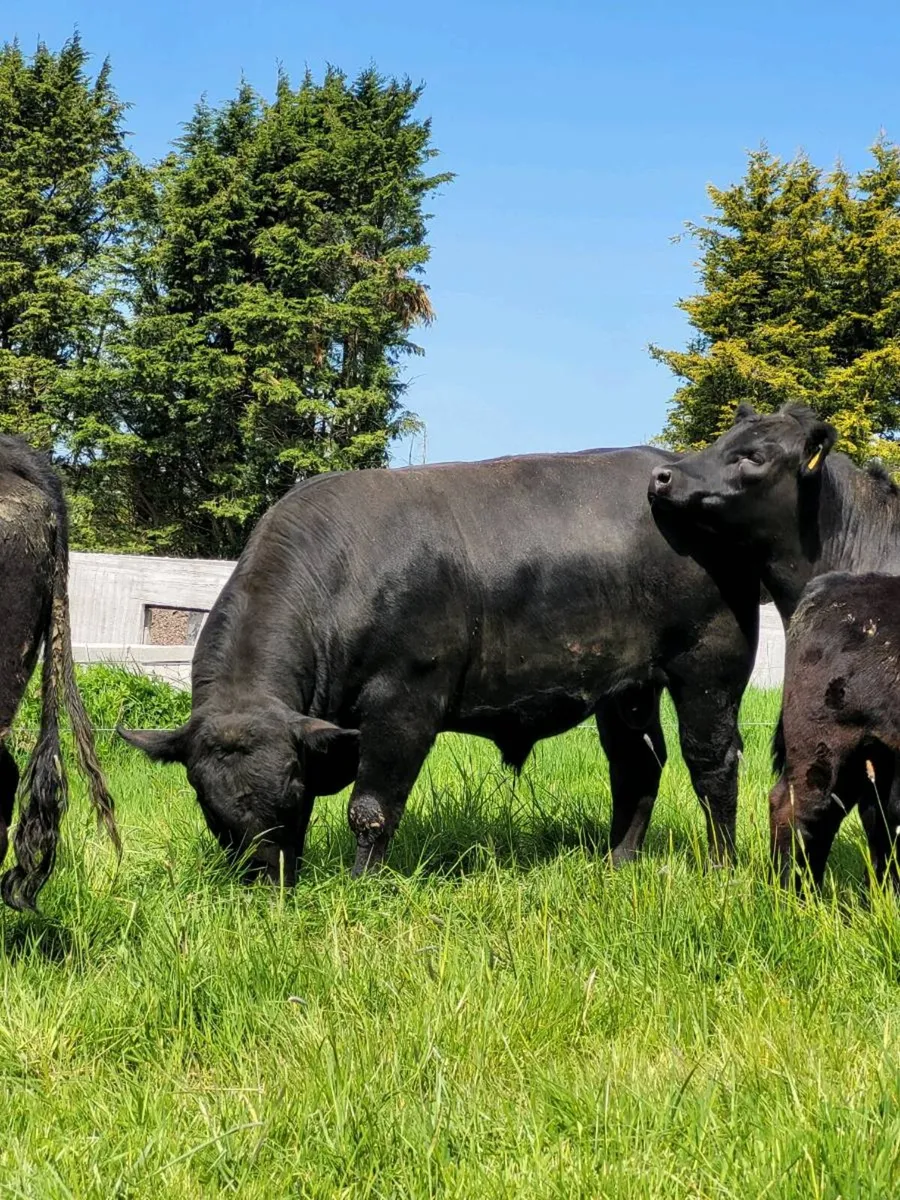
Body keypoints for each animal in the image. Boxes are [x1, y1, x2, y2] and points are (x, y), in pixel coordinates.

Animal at [118, 449, 760, 885]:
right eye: (206, 802)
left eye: (290, 786)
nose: (264, 882)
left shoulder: (405, 702)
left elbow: (371, 809)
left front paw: (362, 886)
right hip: (625, 689)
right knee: (636, 766)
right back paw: (619, 860)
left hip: (710, 667)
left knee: (712, 764)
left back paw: (722, 868)